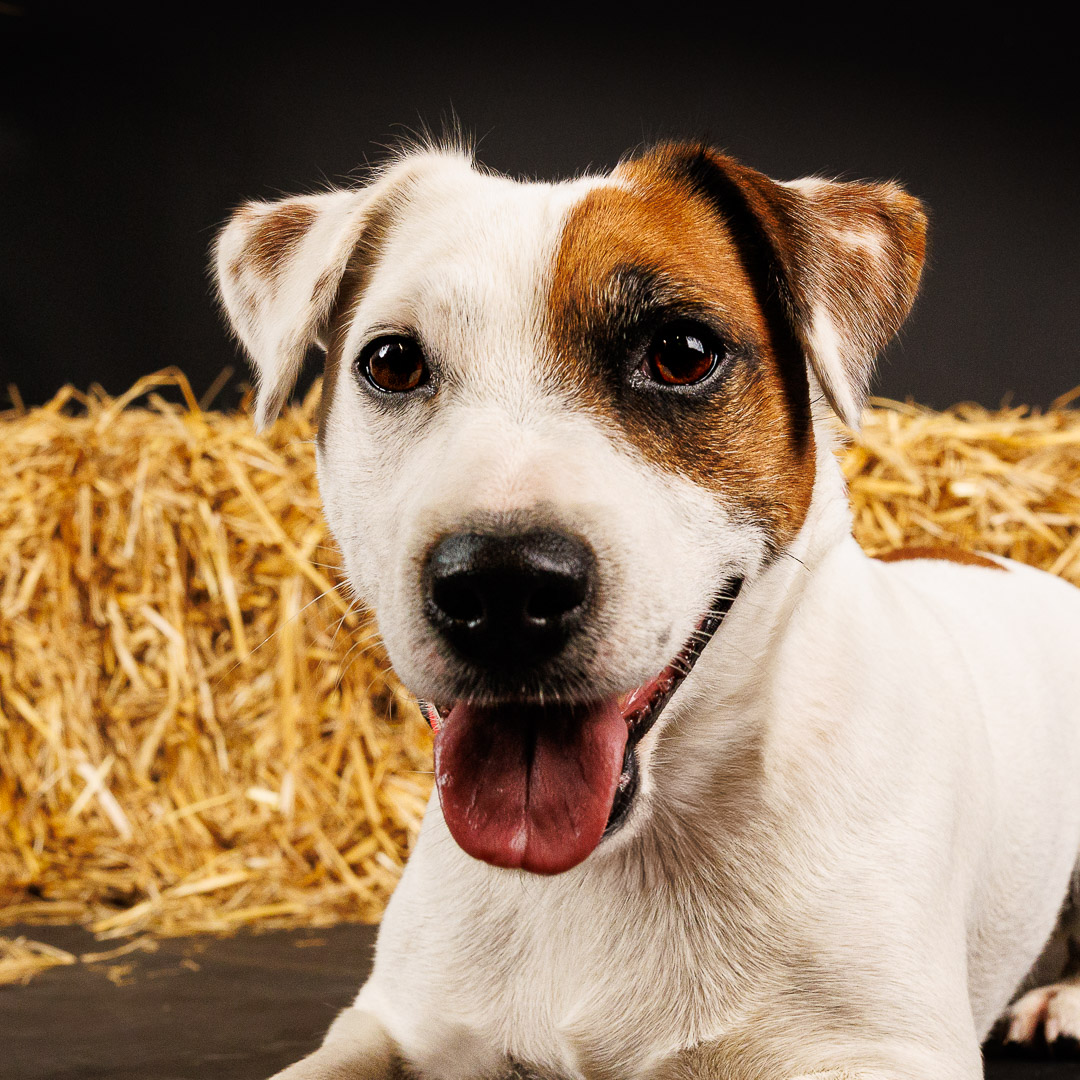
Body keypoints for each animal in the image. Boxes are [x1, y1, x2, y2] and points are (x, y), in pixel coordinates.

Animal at [214, 143, 1080, 1080]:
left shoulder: (885, 1050)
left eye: (682, 353)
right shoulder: (393, 1024)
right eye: (393, 362)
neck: (619, 856)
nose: (503, 587)